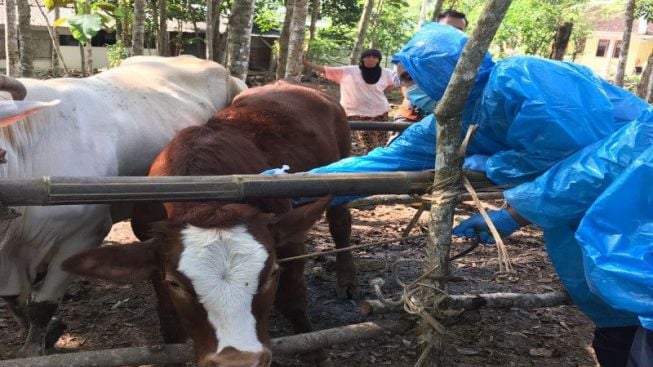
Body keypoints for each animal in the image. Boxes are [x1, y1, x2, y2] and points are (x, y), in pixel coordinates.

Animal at [63, 81, 354, 367]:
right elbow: (169, 318)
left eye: (272, 273)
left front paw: (312, 348)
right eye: (175, 284)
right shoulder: (152, 253)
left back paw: (346, 281)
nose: (237, 361)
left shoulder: (288, 236)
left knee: (341, 224)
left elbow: (292, 297)